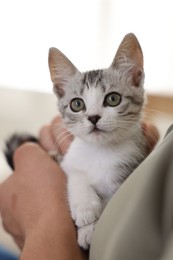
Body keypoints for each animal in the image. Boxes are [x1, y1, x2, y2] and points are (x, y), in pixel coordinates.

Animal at [48, 33, 149, 249]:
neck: (100, 152)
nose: (93, 117)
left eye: (113, 99)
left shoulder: (129, 168)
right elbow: (76, 175)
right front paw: (85, 209)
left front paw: (90, 230)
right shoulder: (69, 161)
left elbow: (110, 203)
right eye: (77, 104)